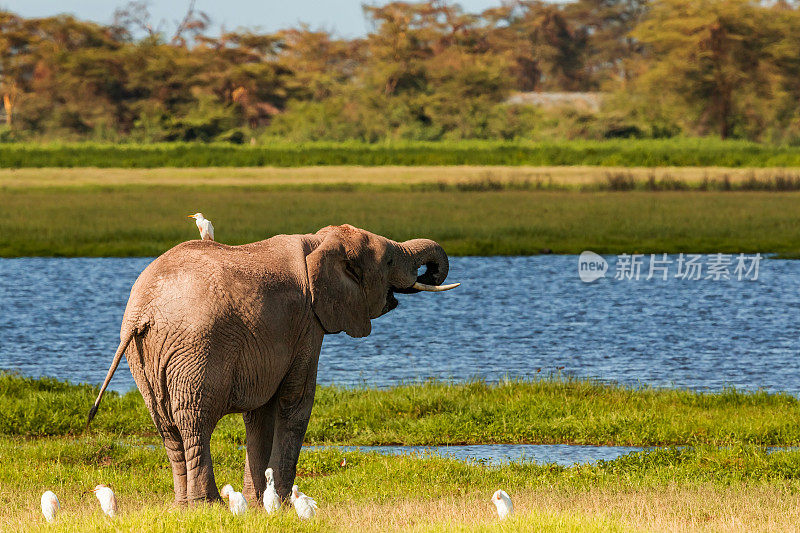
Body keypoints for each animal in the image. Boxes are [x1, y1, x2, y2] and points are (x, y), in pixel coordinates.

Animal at [86, 223, 456, 502]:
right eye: (390, 259)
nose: (431, 272)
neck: (319, 242)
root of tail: (143, 311)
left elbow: (260, 414)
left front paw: (257, 504)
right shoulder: (307, 324)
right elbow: (296, 403)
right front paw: (282, 504)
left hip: (145, 356)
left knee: (167, 427)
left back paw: (184, 506)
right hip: (196, 349)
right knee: (195, 422)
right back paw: (209, 504)